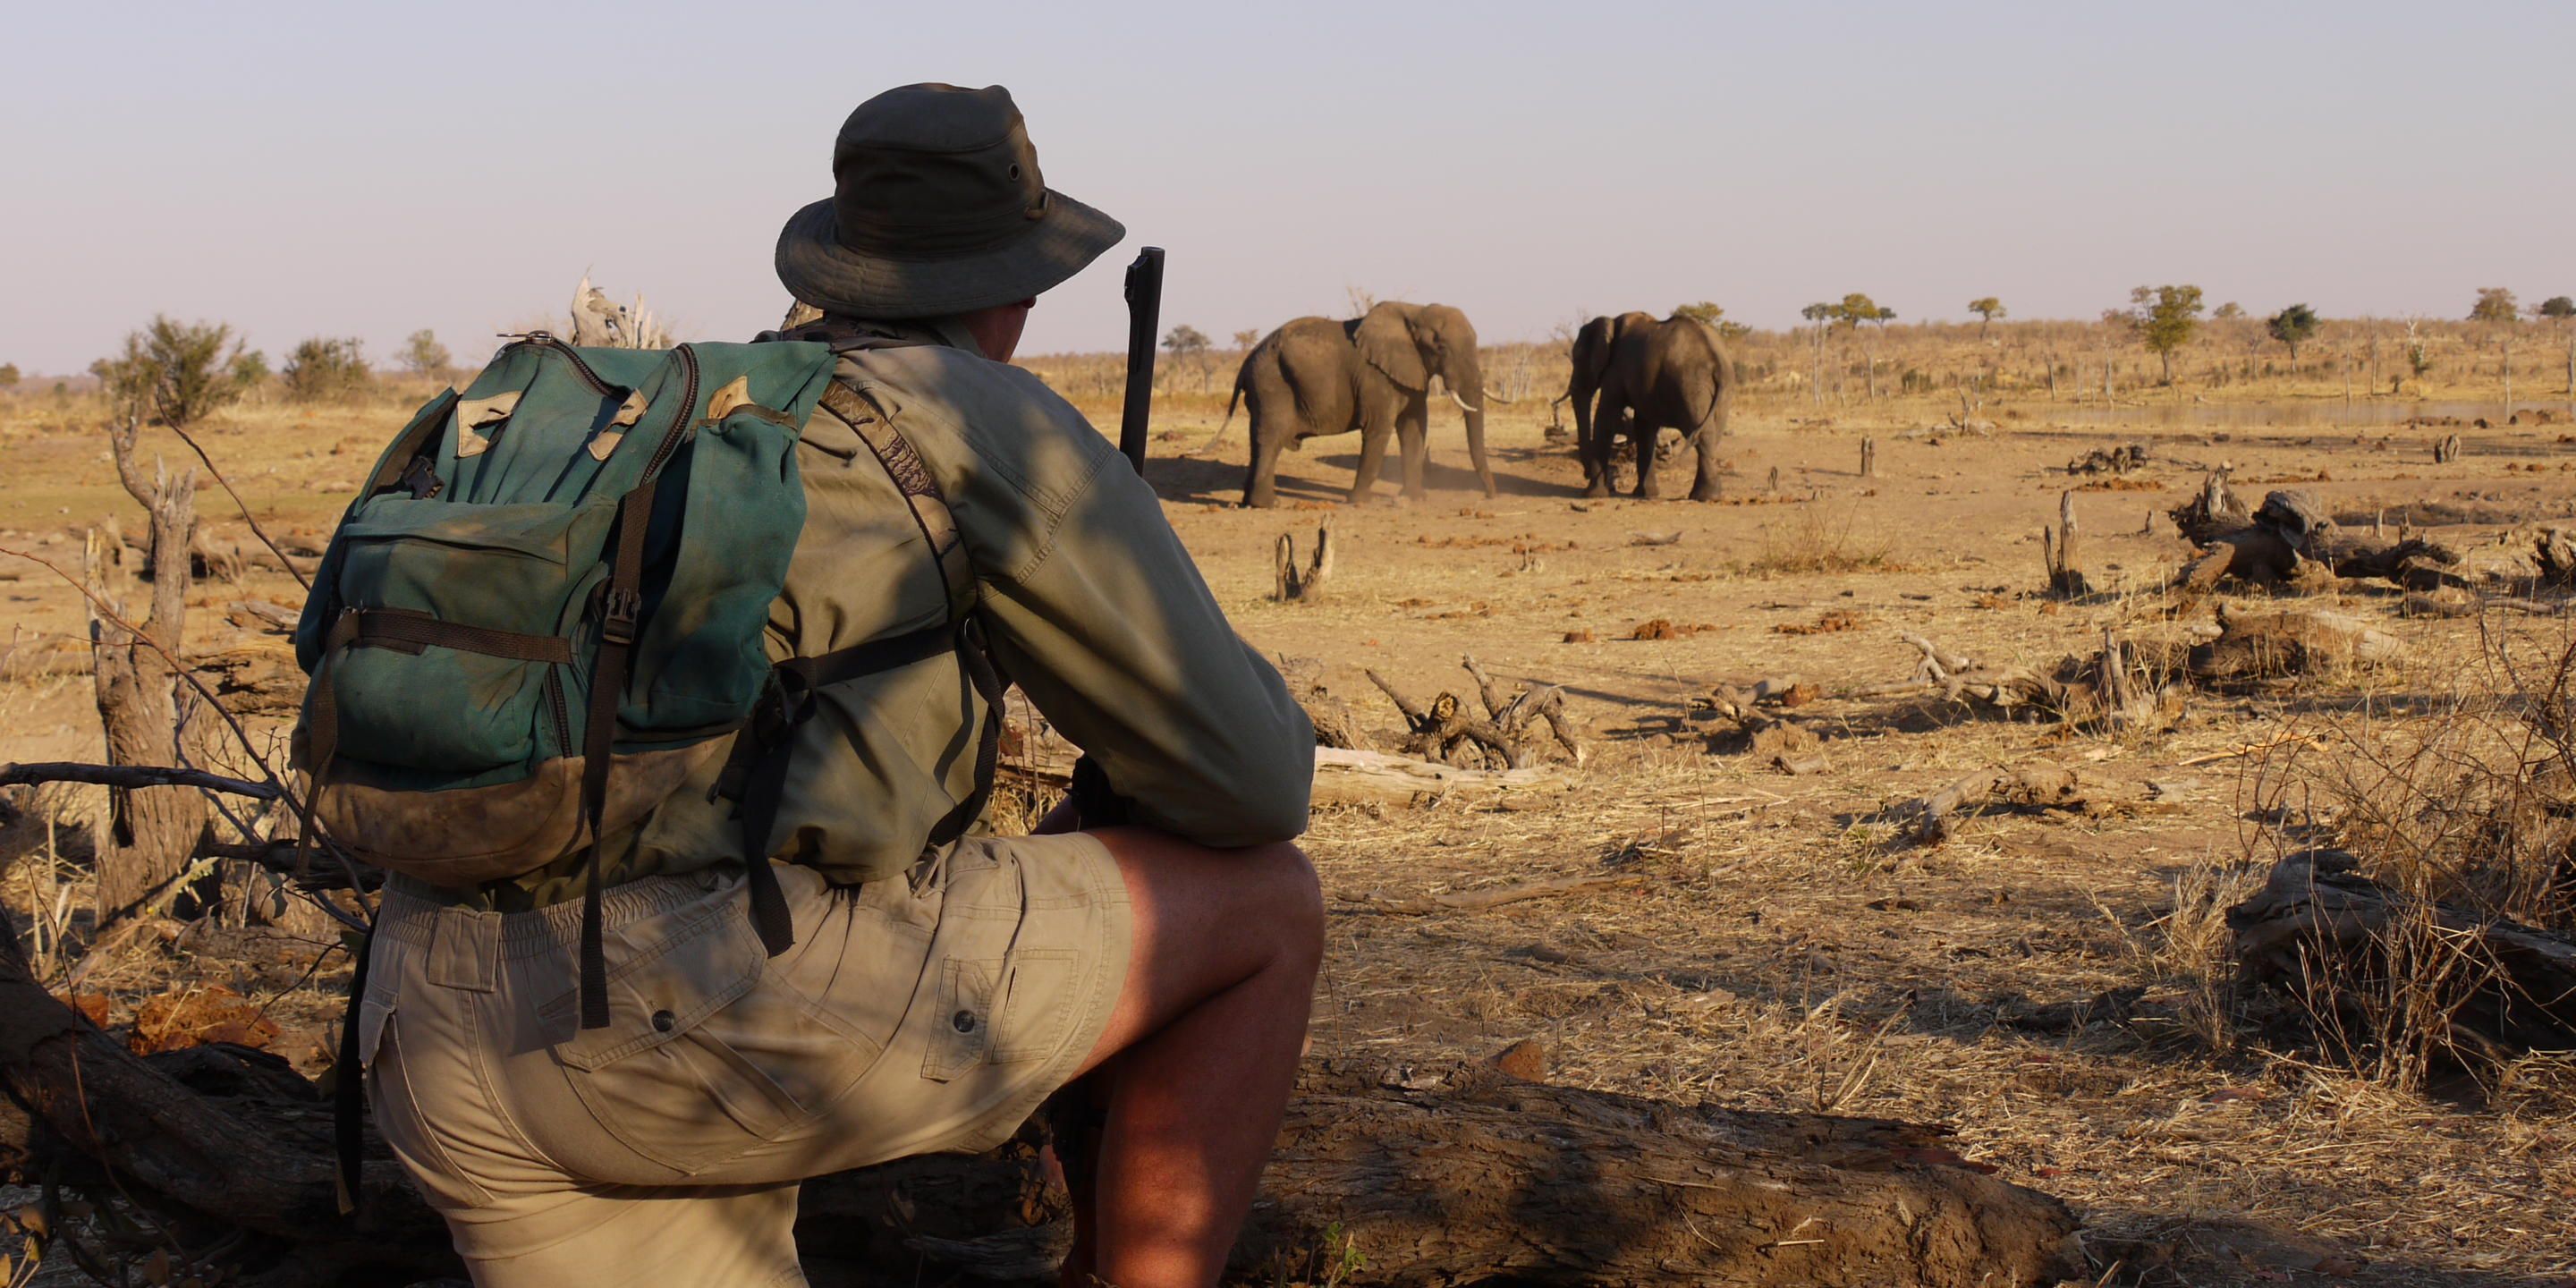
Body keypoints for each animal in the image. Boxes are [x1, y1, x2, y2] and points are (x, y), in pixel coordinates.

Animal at [1219, 302, 1500, 508]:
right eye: (1440, 347)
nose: (1490, 496)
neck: (1414, 311)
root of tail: (1246, 362)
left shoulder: (1411, 373)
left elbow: (1414, 428)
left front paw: (1414, 499)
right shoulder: (1375, 378)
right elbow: (1378, 430)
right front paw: (1359, 501)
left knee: (1258, 440)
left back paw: (1251, 502)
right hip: (1272, 385)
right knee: (1270, 438)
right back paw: (1268, 504)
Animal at [1572, 312, 1734, 501]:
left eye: (1576, 358)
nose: (1586, 474)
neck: (1611, 322)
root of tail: (1717, 361)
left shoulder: (1615, 371)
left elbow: (1605, 416)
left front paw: (1592, 495)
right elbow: (1645, 426)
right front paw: (1646, 494)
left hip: (1692, 386)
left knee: (1702, 435)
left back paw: (1705, 497)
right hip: (1721, 390)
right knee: (1711, 436)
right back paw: (1705, 496)